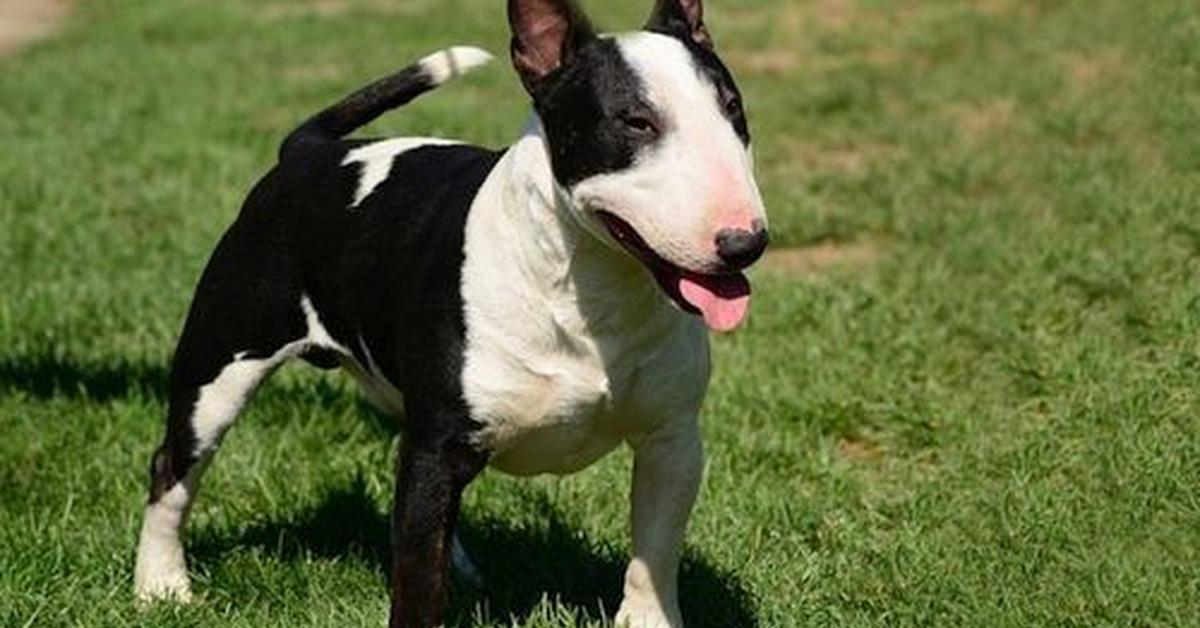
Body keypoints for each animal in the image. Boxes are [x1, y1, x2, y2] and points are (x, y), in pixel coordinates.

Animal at [131, 1, 768, 628]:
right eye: (635, 121)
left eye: (733, 108)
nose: (746, 242)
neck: (589, 292)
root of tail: (310, 150)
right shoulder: (438, 447)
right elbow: (417, 584)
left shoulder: (672, 441)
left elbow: (653, 559)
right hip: (222, 363)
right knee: (173, 466)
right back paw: (160, 586)